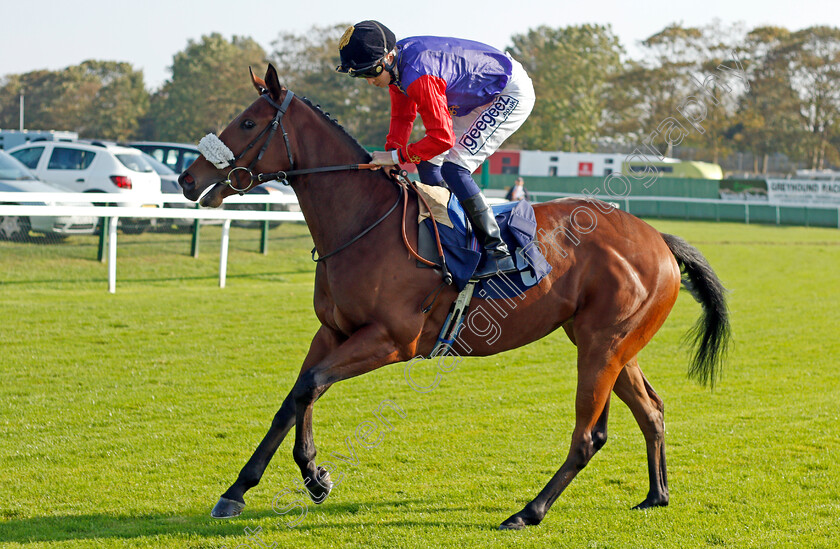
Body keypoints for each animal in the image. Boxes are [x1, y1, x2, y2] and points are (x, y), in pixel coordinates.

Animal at [177, 64, 728, 532]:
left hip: (602, 347)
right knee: (651, 410)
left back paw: (528, 512)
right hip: (609, 344)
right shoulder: (332, 331)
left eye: (248, 122)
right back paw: (656, 495)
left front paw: (312, 476)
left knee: (588, 435)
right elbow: (296, 396)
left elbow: (310, 385)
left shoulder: (391, 340)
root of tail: (659, 239)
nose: (187, 178)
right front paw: (248, 488)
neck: (363, 223)